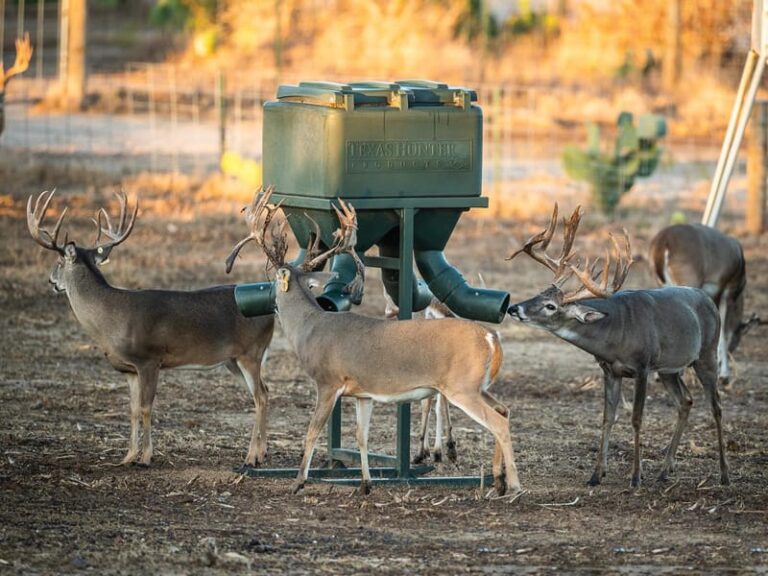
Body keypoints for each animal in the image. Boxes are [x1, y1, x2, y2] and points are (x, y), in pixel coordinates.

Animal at [27, 189, 275, 468]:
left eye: (60, 261)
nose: (50, 281)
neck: (109, 318)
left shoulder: (149, 359)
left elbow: (146, 408)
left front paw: (145, 457)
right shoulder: (129, 369)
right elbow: (133, 409)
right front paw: (127, 456)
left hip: (250, 353)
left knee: (260, 396)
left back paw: (251, 457)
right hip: (232, 360)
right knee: (265, 392)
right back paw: (262, 453)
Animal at [226, 187, 518, 496]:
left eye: (271, 281)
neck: (309, 327)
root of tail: (491, 337)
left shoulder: (328, 381)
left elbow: (312, 431)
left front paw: (298, 482)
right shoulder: (362, 392)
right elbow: (360, 436)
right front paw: (365, 484)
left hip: (462, 386)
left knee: (498, 422)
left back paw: (514, 484)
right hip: (478, 386)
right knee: (504, 410)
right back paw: (498, 479)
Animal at [507, 204, 729, 489]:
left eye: (551, 306)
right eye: (538, 293)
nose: (514, 308)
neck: (616, 336)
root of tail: (708, 300)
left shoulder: (643, 366)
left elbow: (636, 417)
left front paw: (635, 477)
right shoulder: (609, 370)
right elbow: (607, 417)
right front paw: (596, 474)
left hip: (706, 355)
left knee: (716, 405)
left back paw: (724, 474)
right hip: (669, 369)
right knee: (686, 401)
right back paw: (664, 470)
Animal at [649, 223, 761, 388]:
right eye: (737, 338)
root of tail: (663, 241)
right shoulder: (724, 288)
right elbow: (723, 331)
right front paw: (724, 375)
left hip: (660, 284)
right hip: (688, 280)